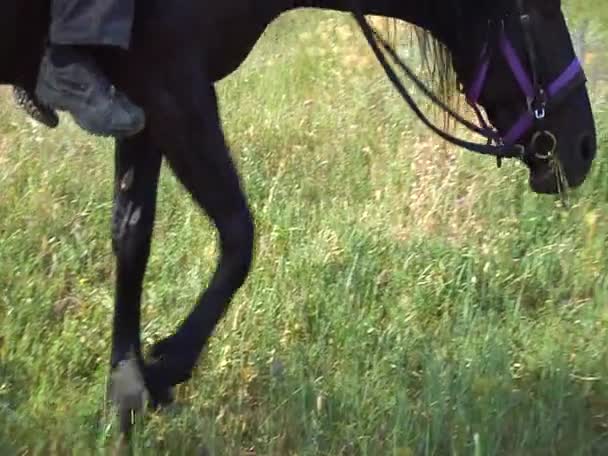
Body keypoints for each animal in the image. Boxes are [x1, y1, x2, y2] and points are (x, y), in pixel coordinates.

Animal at [0, 0, 600, 428]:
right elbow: (239, 236)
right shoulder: (173, 89)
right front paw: (163, 369)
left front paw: (126, 389)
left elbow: (132, 234)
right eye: (538, 10)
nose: (584, 147)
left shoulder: (143, 107)